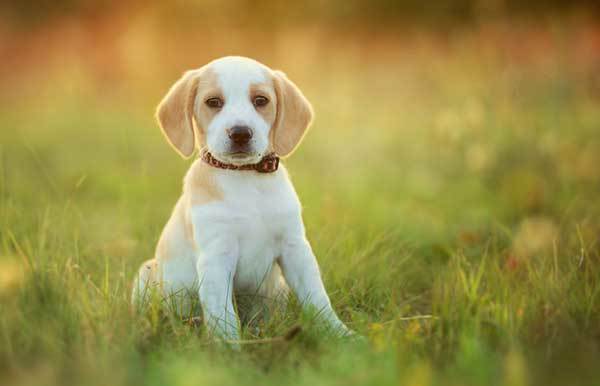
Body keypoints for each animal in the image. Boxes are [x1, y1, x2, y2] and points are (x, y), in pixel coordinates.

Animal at [132, 55, 352, 342]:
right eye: (213, 102)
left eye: (261, 100)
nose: (240, 133)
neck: (246, 177)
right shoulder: (216, 256)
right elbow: (223, 314)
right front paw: (230, 348)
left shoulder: (295, 248)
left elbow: (318, 298)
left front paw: (342, 335)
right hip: (146, 273)